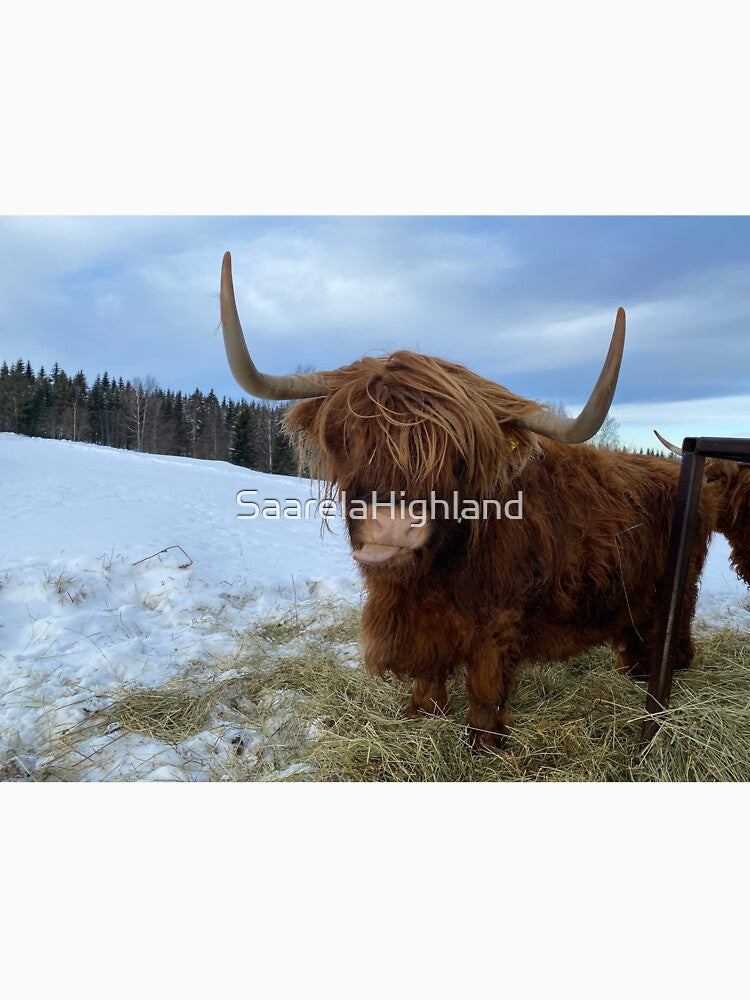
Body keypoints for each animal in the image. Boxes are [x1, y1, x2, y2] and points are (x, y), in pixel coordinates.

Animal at [220, 252, 749, 750]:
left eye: (458, 457)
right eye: (352, 435)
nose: (392, 525)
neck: (432, 576)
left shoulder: (500, 618)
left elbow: (485, 686)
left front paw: (484, 743)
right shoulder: (422, 622)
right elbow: (428, 672)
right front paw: (422, 714)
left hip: (679, 583)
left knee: (672, 627)